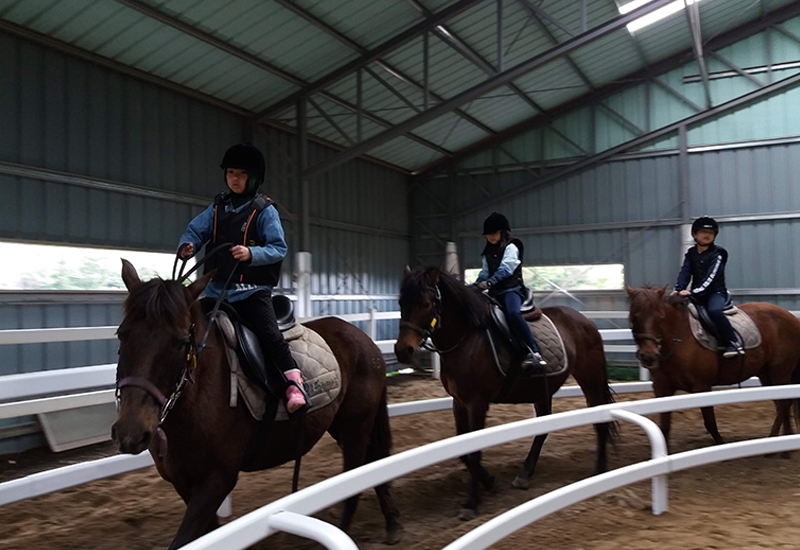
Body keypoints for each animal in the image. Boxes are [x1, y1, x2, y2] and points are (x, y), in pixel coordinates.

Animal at [109, 260, 404, 548]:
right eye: (122, 334)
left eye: (181, 342)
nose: (131, 433)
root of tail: (365, 340)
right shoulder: (183, 481)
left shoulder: (217, 479)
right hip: (342, 425)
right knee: (372, 463)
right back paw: (392, 523)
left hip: (356, 425)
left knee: (356, 475)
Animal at [396, 270, 616, 524]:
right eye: (401, 303)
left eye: (425, 304)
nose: (402, 351)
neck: (466, 337)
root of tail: (585, 321)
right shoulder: (459, 402)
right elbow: (463, 450)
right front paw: (490, 482)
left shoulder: (477, 403)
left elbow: (473, 451)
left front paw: (471, 503)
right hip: (542, 390)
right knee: (543, 429)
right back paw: (525, 474)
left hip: (590, 379)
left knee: (600, 421)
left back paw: (599, 470)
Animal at [628, 286, 800, 450]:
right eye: (634, 317)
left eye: (660, 317)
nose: (649, 357)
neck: (677, 339)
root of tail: (791, 317)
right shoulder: (662, 388)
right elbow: (664, 427)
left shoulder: (702, 387)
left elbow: (710, 423)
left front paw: (722, 446)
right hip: (766, 373)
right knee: (782, 403)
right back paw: (784, 446)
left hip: (780, 370)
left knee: (784, 403)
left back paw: (775, 443)